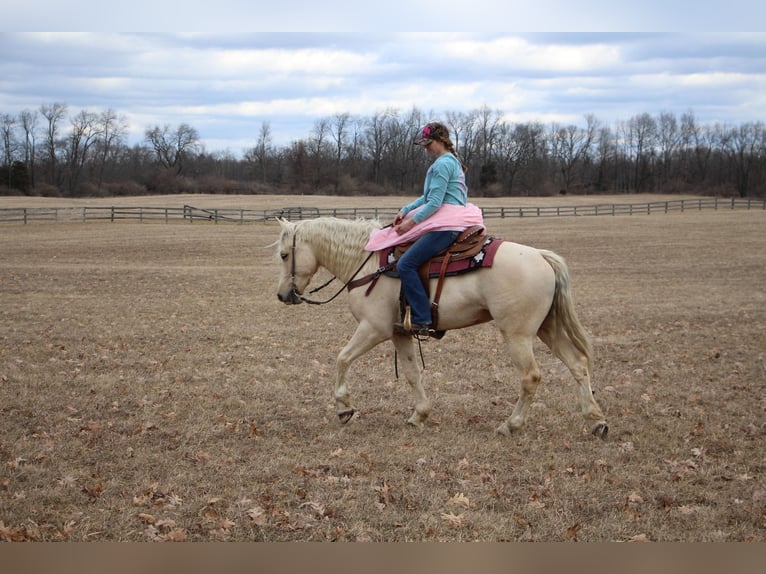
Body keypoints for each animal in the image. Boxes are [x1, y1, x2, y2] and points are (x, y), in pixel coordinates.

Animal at [276, 217, 612, 440]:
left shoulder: (373, 329)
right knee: (578, 364)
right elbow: (412, 374)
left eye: (283, 254)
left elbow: (342, 359)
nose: (282, 295)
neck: (369, 264)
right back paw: (596, 421)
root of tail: (541, 256)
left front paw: (344, 408)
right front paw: (419, 415)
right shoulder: (400, 333)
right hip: (546, 328)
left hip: (518, 335)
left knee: (531, 377)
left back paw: (511, 425)